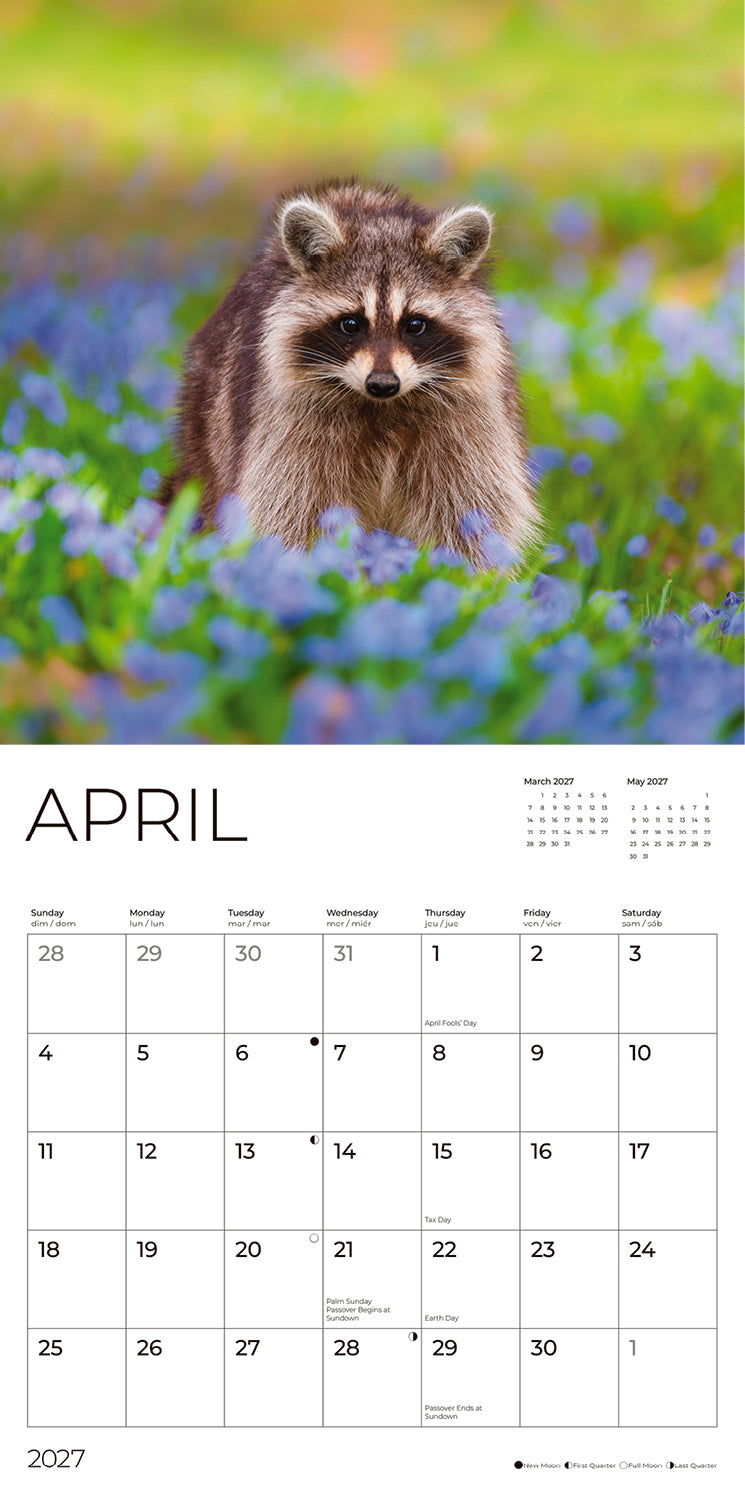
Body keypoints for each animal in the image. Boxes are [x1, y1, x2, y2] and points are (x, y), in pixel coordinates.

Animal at [160, 180, 539, 566]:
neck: (384, 408)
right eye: (351, 324)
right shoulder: (288, 421)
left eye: (415, 325)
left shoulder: (466, 419)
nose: (383, 383)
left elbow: (473, 502)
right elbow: (289, 504)